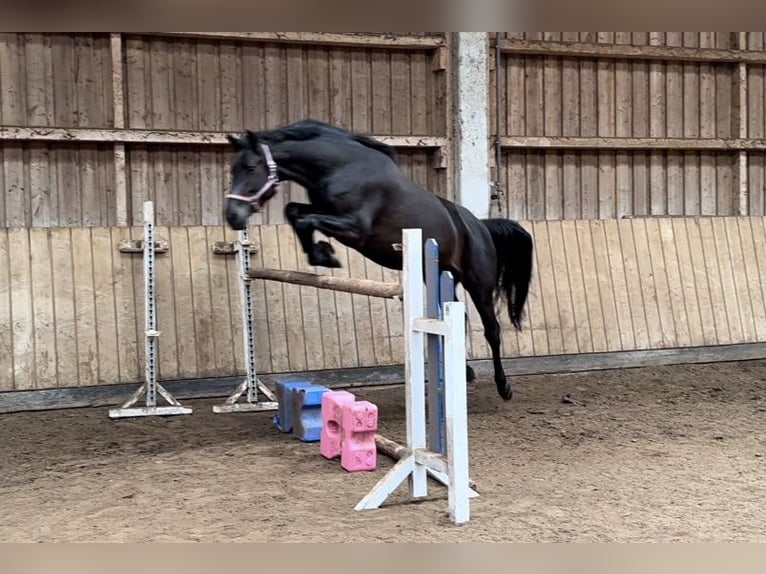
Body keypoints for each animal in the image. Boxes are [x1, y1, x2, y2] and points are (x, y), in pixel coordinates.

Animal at [222, 119, 536, 402]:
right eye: (232, 169)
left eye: (251, 168)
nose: (233, 216)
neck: (341, 167)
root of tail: (480, 225)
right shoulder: (323, 209)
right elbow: (294, 211)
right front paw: (321, 254)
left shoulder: (355, 229)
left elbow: (304, 217)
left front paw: (325, 255)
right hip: (439, 276)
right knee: (455, 320)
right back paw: (463, 372)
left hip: (478, 284)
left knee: (492, 330)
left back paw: (503, 387)